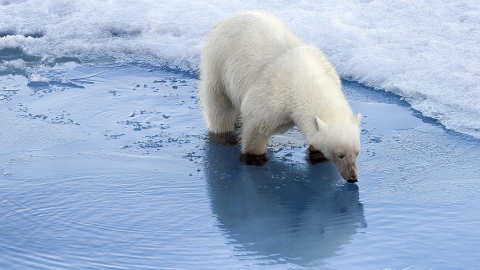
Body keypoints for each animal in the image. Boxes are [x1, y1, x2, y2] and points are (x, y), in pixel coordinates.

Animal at [197, 11, 362, 182]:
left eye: (357, 152)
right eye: (340, 154)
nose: (352, 177)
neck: (305, 76)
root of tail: (229, 19)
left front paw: (316, 154)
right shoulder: (271, 96)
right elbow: (256, 130)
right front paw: (255, 158)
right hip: (219, 65)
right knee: (220, 108)